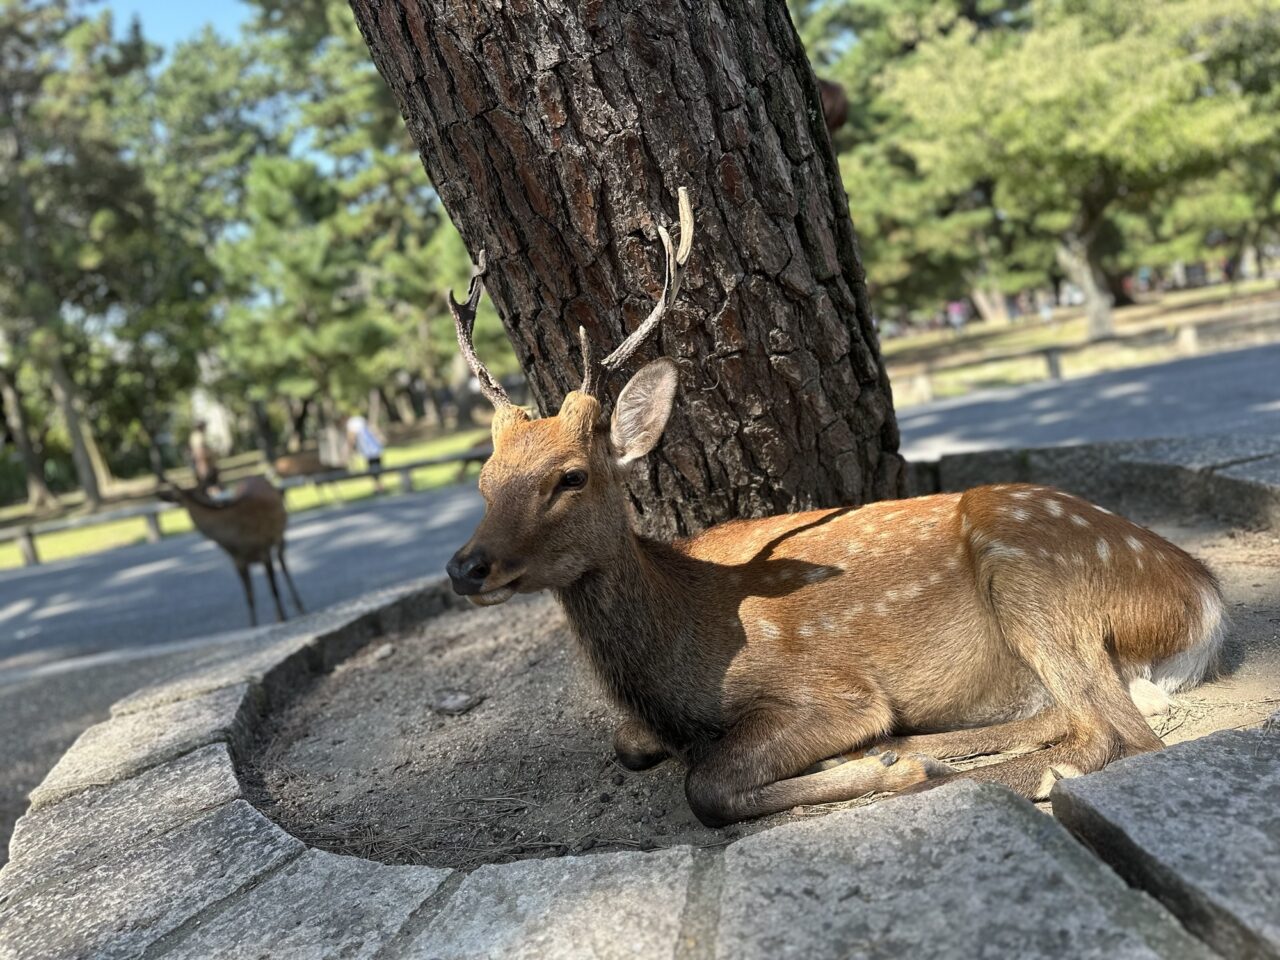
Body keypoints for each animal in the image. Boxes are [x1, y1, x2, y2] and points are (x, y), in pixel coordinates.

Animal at [154, 476, 302, 627]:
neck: (237, 542)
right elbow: (249, 597)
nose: (160, 495)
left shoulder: (264, 550)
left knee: (282, 563)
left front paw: (282, 618)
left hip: (280, 533)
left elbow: (274, 590)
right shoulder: (237, 561)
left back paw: (299, 606)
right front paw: (253, 625)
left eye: (174, 495)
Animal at [445, 193, 1223, 829]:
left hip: (1031, 570)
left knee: (1119, 732)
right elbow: (628, 745)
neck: (672, 673)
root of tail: (1204, 599)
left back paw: (925, 763)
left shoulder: (827, 690)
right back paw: (908, 749)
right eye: (484, 479)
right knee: (1069, 713)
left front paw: (880, 767)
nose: (465, 567)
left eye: (570, 477)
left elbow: (707, 787)